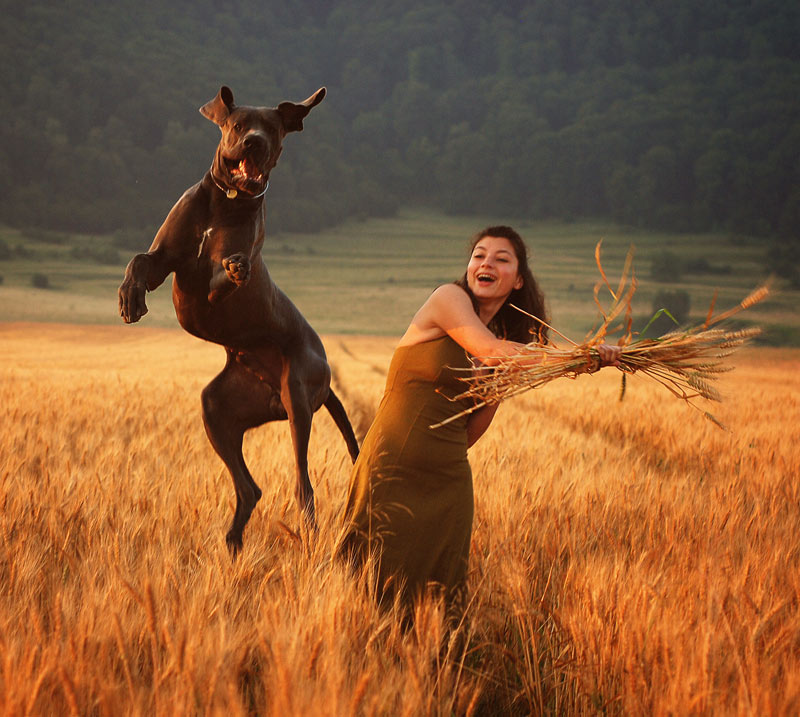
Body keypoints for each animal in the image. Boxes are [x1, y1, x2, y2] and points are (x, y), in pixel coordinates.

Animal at [118, 85, 360, 552]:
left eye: (272, 128)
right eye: (236, 125)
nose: (254, 143)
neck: (225, 201)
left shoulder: (218, 282)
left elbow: (222, 274)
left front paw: (230, 269)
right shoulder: (163, 259)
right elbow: (140, 260)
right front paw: (129, 298)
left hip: (297, 397)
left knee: (303, 484)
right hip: (217, 408)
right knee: (249, 488)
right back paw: (231, 543)